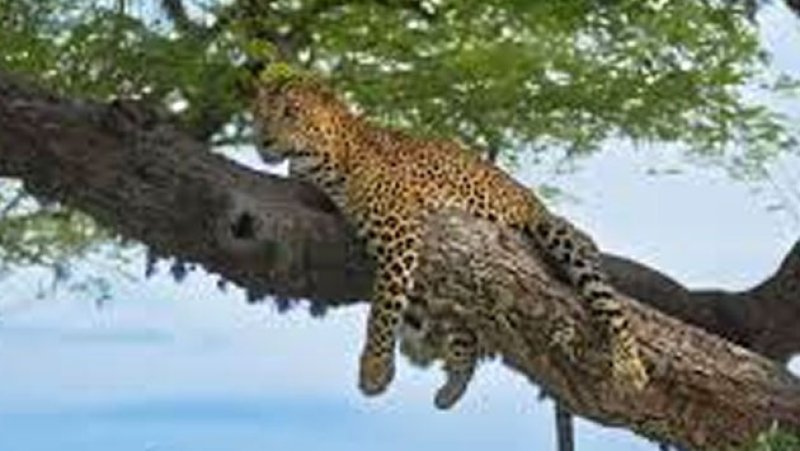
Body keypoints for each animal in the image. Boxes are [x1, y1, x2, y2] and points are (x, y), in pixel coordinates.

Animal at [252, 74, 648, 408]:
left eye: (290, 112)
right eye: (259, 114)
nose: (263, 140)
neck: (331, 156)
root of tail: (530, 197)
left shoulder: (399, 230)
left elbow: (384, 306)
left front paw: (375, 369)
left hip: (559, 233)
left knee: (608, 302)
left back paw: (630, 366)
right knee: (462, 334)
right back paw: (454, 383)